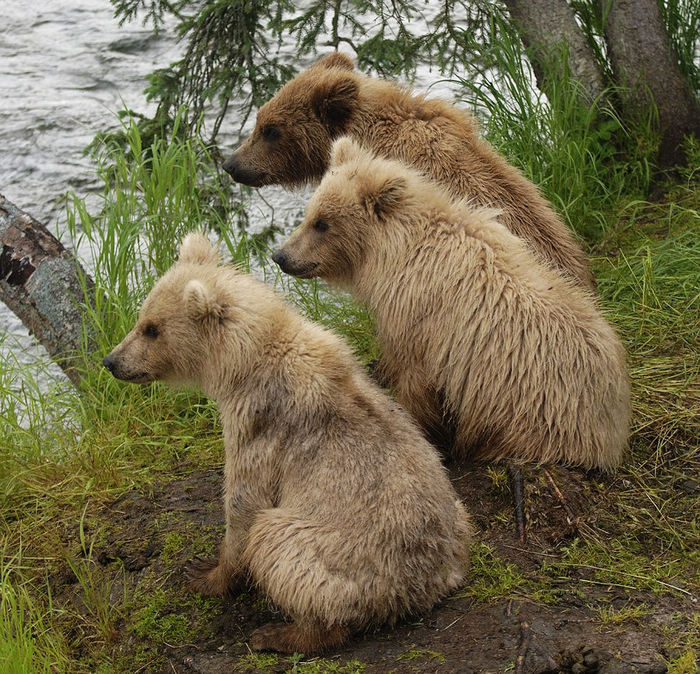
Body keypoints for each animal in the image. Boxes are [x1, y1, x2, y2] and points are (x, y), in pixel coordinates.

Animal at [101, 234, 474, 652]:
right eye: (141, 317)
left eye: (152, 329)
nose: (111, 360)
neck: (242, 361)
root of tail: (429, 586)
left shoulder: (259, 422)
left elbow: (245, 502)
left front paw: (207, 574)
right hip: (459, 518)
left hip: (351, 559)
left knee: (280, 545)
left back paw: (281, 633)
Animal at [272, 138, 628, 470]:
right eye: (310, 213)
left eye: (322, 223)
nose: (281, 256)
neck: (394, 253)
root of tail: (613, 426)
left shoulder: (419, 320)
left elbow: (414, 380)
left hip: (530, 415)